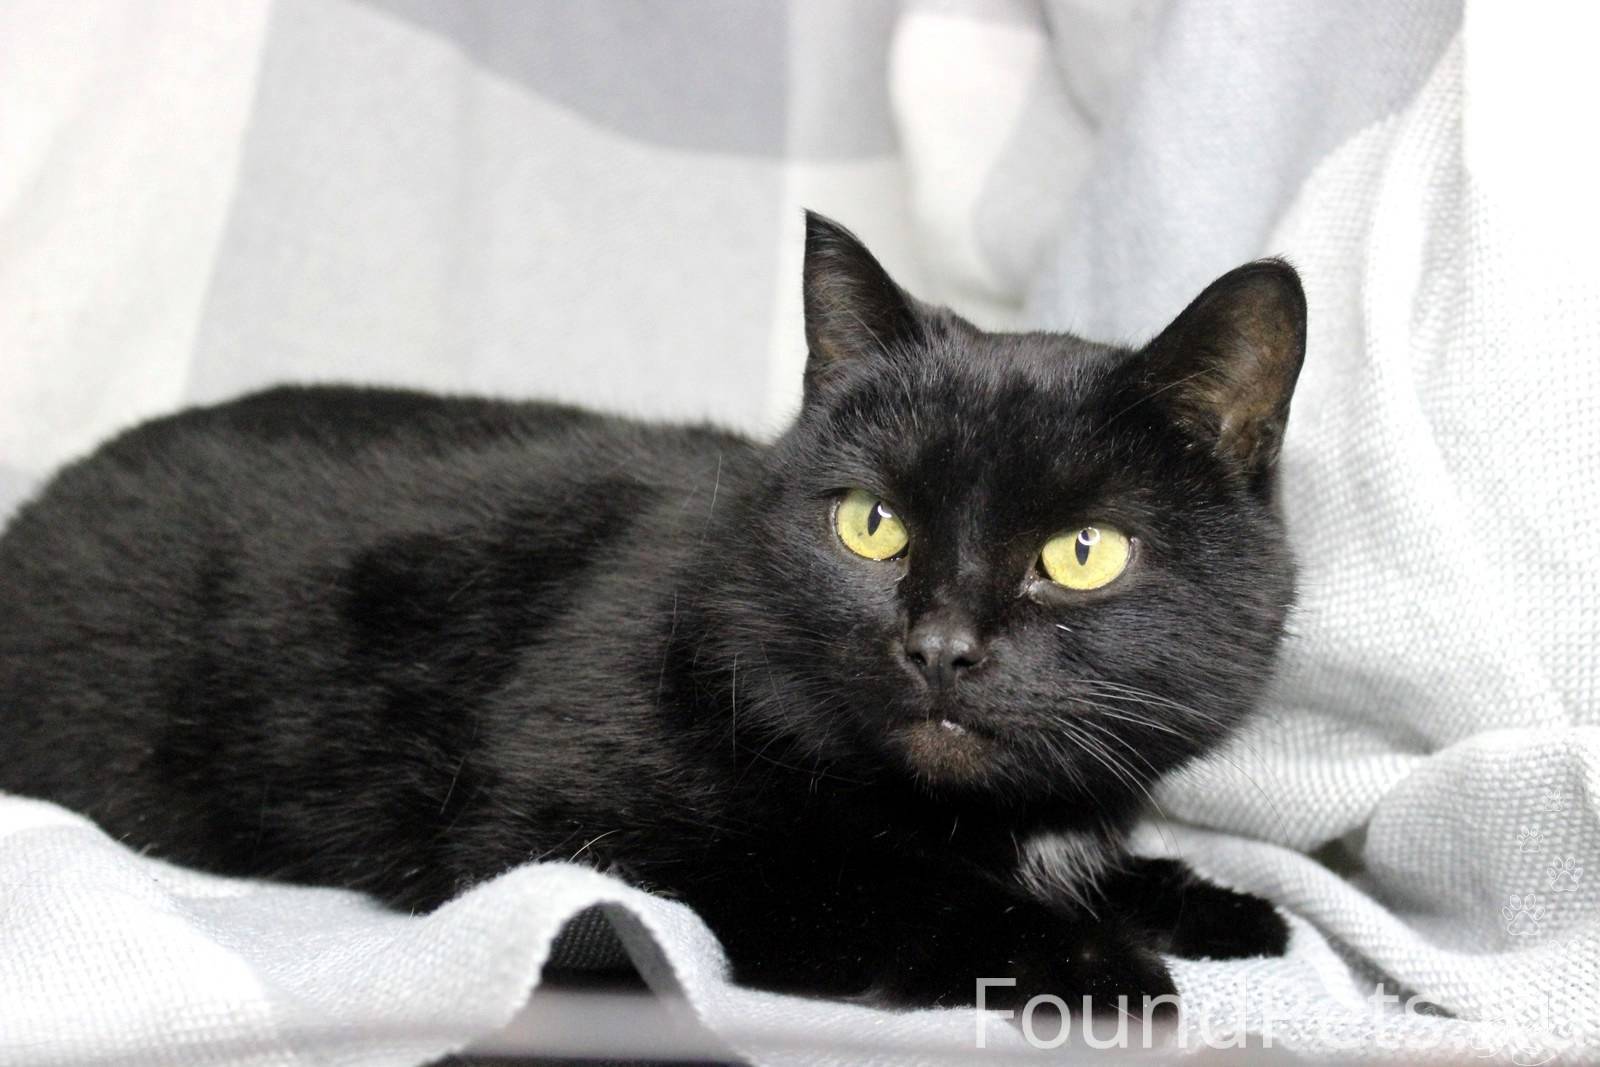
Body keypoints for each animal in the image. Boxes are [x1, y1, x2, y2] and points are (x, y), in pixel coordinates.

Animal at [0, 212, 1302, 1016]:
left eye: (1081, 552)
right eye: (869, 523)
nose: (938, 645)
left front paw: (1208, 900)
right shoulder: (563, 825)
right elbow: (869, 882)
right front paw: (1094, 962)